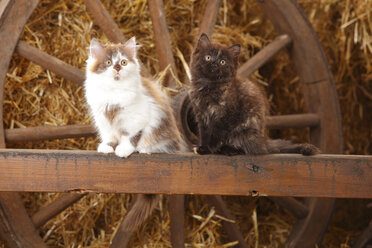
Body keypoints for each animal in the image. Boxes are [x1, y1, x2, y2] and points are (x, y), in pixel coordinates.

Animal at [83, 36, 185, 231]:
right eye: (108, 62)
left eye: (123, 62)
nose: (117, 68)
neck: (113, 94)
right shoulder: (103, 120)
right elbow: (110, 137)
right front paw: (107, 148)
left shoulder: (136, 119)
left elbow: (129, 136)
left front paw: (123, 150)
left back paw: (145, 150)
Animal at [189, 33, 320, 156]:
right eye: (208, 57)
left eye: (223, 62)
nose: (214, 63)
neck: (208, 86)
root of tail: (264, 141)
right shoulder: (202, 115)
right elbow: (204, 134)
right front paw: (202, 146)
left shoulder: (224, 116)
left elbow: (216, 134)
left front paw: (207, 149)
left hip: (245, 131)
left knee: (250, 149)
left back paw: (229, 149)